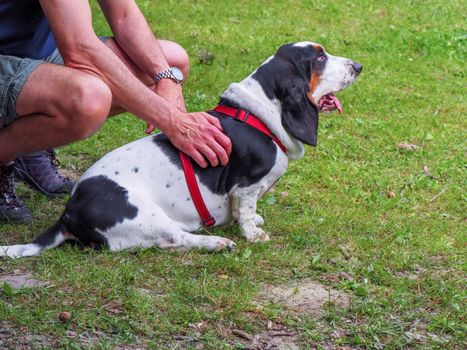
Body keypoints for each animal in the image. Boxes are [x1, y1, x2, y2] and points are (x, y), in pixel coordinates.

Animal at [0, 42, 362, 258]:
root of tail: (68, 213)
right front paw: (253, 233)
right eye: (319, 58)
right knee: (177, 238)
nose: (358, 66)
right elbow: (245, 211)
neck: (258, 113)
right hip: (146, 214)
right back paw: (216, 242)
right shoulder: (246, 187)